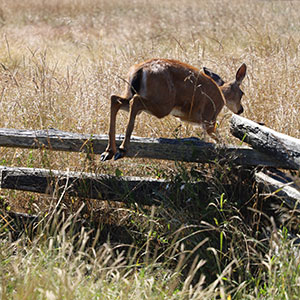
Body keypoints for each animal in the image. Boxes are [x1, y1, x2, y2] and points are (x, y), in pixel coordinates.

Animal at [101, 59, 246, 162]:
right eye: (242, 93)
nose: (240, 109)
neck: (221, 95)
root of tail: (140, 69)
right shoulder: (209, 119)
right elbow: (218, 140)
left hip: (131, 93)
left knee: (115, 98)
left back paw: (108, 152)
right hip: (163, 104)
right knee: (134, 102)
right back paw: (121, 150)